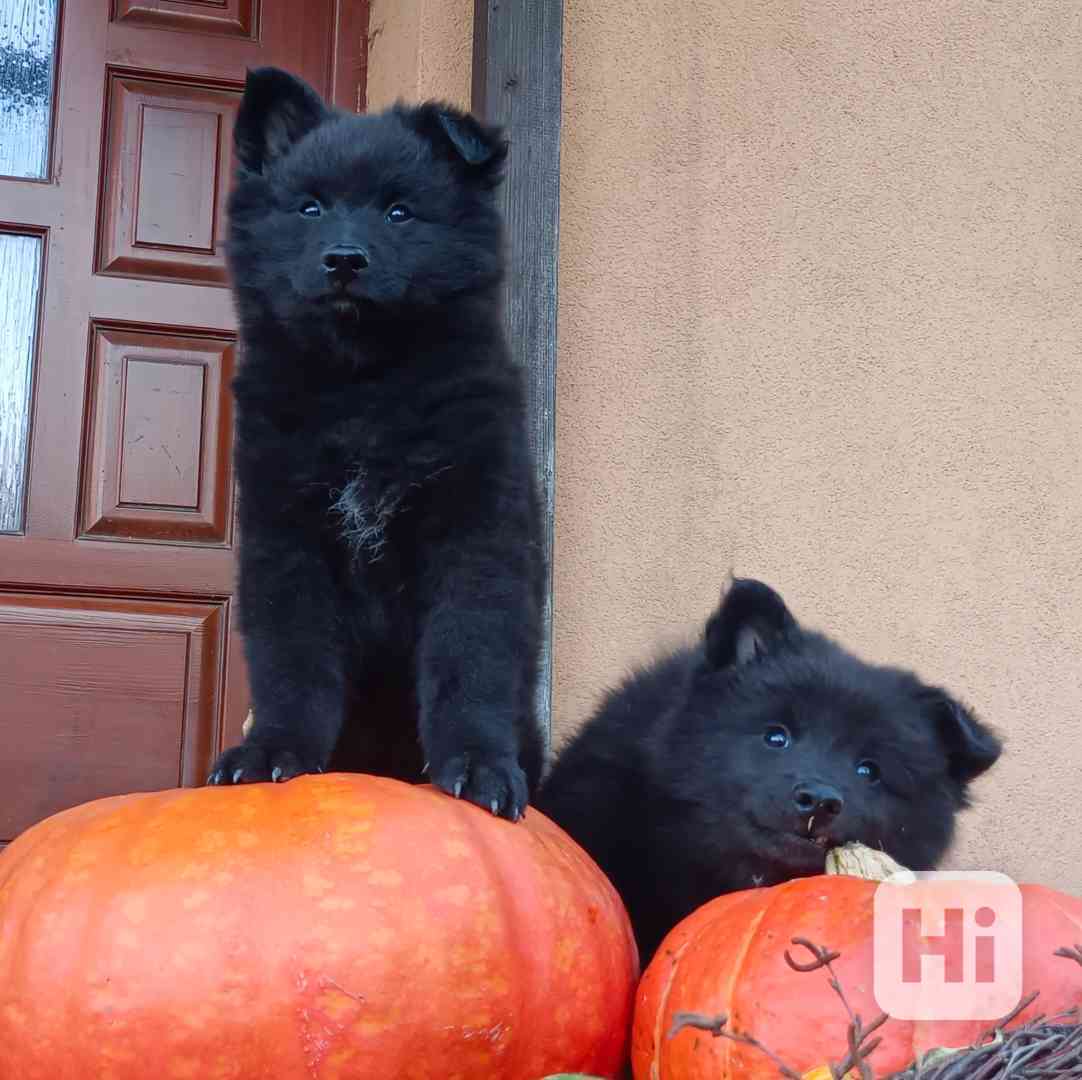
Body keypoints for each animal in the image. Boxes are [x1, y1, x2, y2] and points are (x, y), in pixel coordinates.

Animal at [204, 67, 541, 818]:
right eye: (309, 209)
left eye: (398, 213)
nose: (343, 260)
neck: (363, 386)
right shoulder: (287, 536)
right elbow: (292, 659)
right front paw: (272, 752)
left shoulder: (475, 529)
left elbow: (468, 654)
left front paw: (477, 766)